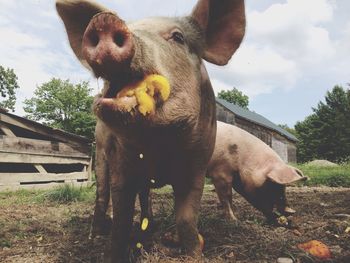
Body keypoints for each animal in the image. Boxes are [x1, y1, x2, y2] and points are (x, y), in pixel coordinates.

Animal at [55, 0, 246, 262]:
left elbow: (186, 218)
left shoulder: (198, 163)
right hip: (100, 154)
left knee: (144, 195)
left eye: (178, 37)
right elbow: (122, 218)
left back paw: (150, 225)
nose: (104, 21)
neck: (158, 144)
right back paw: (96, 235)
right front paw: (113, 254)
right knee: (102, 196)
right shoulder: (120, 162)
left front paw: (195, 255)